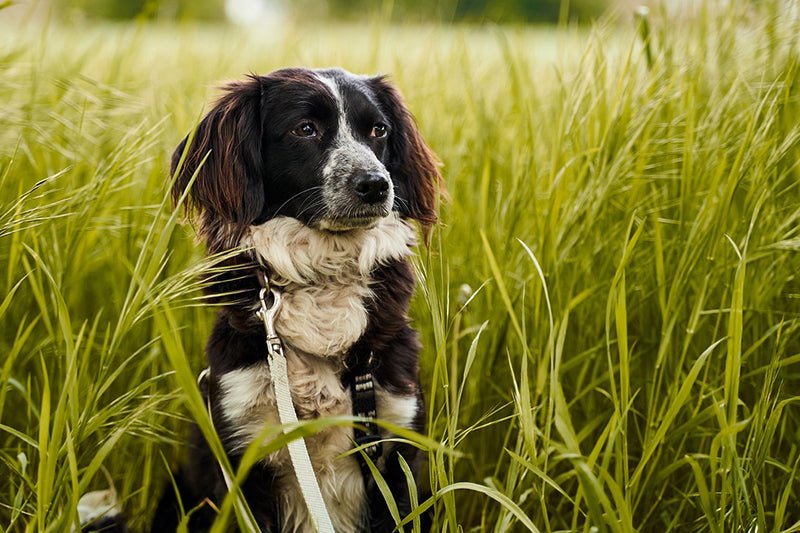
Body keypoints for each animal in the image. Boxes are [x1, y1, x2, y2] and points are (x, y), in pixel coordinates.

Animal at [153, 68, 440, 528]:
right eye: (305, 129)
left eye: (379, 130)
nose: (377, 185)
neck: (324, 277)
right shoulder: (242, 452)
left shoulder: (396, 445)